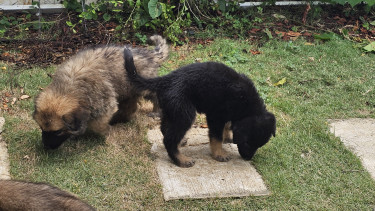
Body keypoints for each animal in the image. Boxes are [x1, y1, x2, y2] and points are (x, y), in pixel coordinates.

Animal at [33, 35, 169, 149]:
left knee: (155, 96)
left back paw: (156, 112)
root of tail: (149, 54)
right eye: (41, 128)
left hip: (142, 86)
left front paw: (105, 133)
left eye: (58, 131)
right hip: (125, 90)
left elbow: (97, 125)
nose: (46, 147)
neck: (69, 87)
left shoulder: (104, 103)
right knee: (129, 107)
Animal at [125, 48, 274, 168]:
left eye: (259, 145)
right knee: (169, 140)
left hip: (172, 110)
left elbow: (226, 126)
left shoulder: (226, 114)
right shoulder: (216, 116)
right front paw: (219, 154)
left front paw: (227, 137)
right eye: (247, 143)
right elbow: (216, 137)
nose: (247, 158)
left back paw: (181, 142)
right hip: (185, 113)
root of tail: (164, 80)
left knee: (165, 128)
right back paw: (181, 160)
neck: (247, 104)